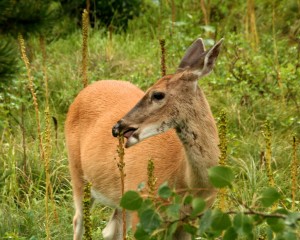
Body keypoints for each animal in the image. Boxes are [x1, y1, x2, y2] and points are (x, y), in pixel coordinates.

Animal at [65, 38, 224, 240]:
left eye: (157, 94)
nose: (118, 127)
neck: (187, 183)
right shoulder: (140, 211)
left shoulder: (187, 222)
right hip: (77, 171)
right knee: (78, 220)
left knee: (110, 230)